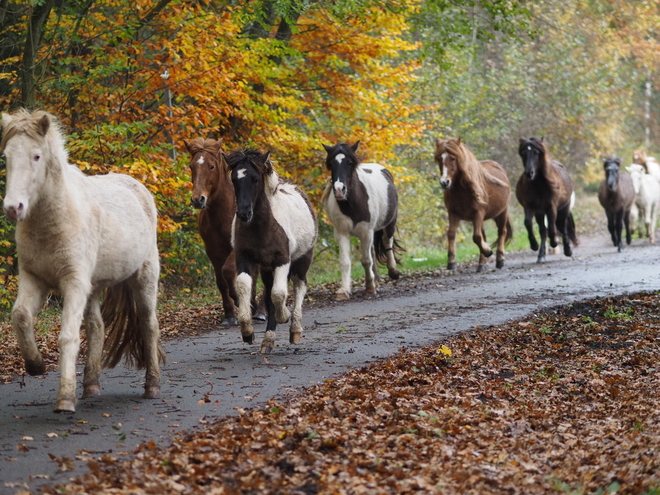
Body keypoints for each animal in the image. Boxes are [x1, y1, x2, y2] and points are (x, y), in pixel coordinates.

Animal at [1, 109, 164, 414]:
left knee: (149, 326)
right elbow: (20, 316)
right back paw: (90, 386)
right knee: (97, 327)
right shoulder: (34, 279)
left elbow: (68, 336)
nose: (12, 208)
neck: (56, 218)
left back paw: (152, 386)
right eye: (6, 157)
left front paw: (65, 399)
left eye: (36, 156)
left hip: (144, 279)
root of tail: (139, 189)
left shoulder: (73, 282)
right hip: (94, 287)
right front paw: (35, 365)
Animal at [224, 149, 318, 354]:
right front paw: (247, 331)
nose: (244, 214)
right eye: (234, 179)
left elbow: (279, 293)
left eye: (255, 179)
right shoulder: (245, 258)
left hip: (302, 260)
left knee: (299, 286)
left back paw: (295, 329)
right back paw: (268, 340)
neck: (261, 227)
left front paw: (285, 315)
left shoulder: (282, 260)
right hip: (267, 269)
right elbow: (244, 285)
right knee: (268, 295)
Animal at [320, 141, 402, 300]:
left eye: (350, 163)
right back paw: (376, 280)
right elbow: (345, 262)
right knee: (372, 251)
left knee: (386, 241)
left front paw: (370, 287)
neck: (352, 204)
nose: (339, 190)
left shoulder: (366, 232)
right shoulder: (342, 233)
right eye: (331, 164)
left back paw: (393, 272)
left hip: (389, 223)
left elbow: (366, 260)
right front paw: (344, 290)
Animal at [436, 138, 512, 274]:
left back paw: (500, 259)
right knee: (484, 236)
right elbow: (451, 234)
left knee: (501, 232)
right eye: (439, 158)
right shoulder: (453, 213)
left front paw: (488, 251)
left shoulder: (478, 214)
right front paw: (451, 262)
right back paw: (482, 263)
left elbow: (476, 237)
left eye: (453, 158)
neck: (462, 190)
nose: (444, 182)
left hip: (502, 212)